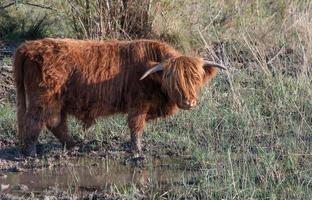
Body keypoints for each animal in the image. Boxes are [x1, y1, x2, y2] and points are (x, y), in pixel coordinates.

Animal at [13, 38, 225, 156]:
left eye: (196, 79)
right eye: (173, 81)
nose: (189, 102)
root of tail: (27, 47)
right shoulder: (138, 104)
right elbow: (136, 127)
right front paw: (137, 150)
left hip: (58, 101)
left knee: (56, 123)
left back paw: (73, 145)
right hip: (44, 99)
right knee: (35, 121)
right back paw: (32, 152)